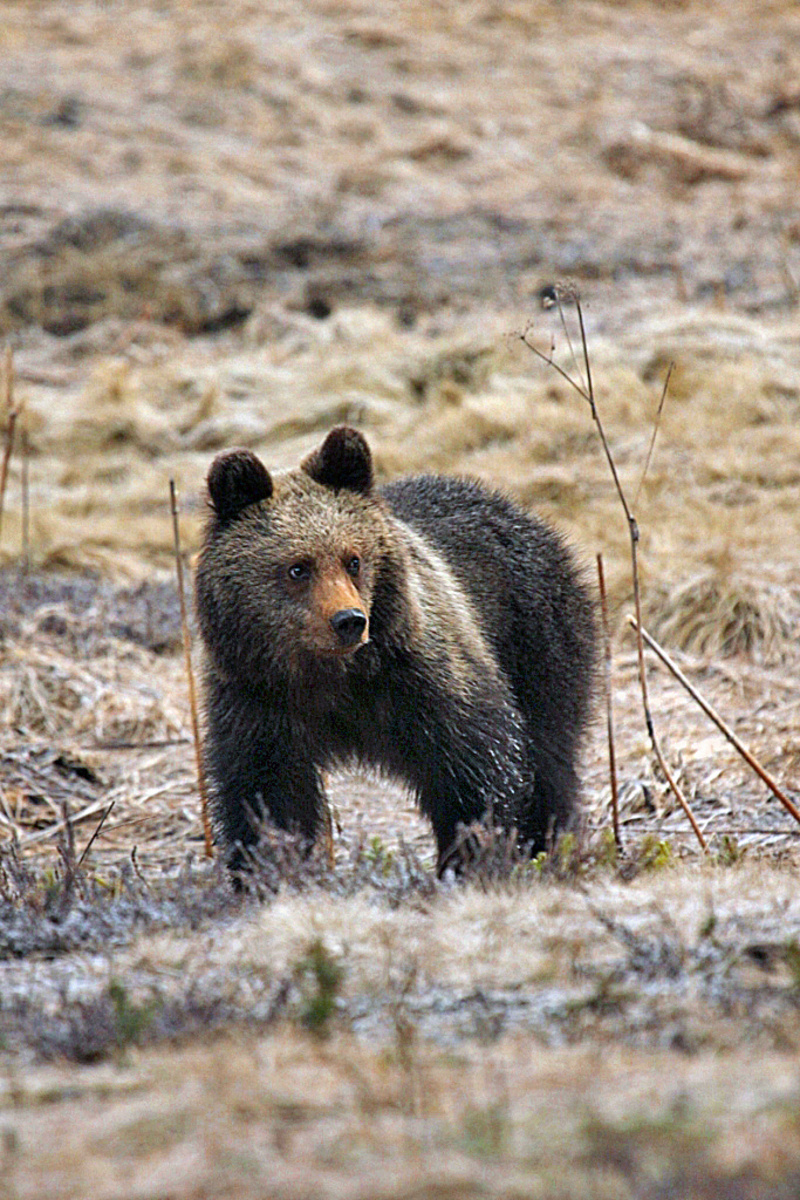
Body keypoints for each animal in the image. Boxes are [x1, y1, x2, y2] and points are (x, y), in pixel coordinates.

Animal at [194, 427, 594, 878]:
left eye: (353, 560)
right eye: (298, 567)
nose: (349, 620)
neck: (334, 676)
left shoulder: (422, 680)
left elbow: (477, 769)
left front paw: (470, 858)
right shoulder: (259, 702)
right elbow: (266, 797)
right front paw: (264, 870)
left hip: (538, 641)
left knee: (551, 755)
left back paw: (549, 844)